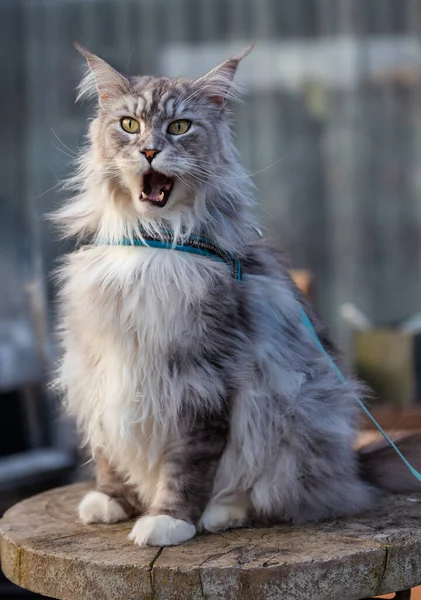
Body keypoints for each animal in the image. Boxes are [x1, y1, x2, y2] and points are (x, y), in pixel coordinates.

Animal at [52, 43, 420, 548]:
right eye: (129, 124)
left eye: (179, 127)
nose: (150, 151)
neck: (155, 244)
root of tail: (354, 468)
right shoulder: (99, 367)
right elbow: (108, 449)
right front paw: (110, 500)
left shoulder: (204, 379)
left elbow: (187, 466)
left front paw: (168, 520)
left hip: (288, 412)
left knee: (276, 493)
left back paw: (222, 512)